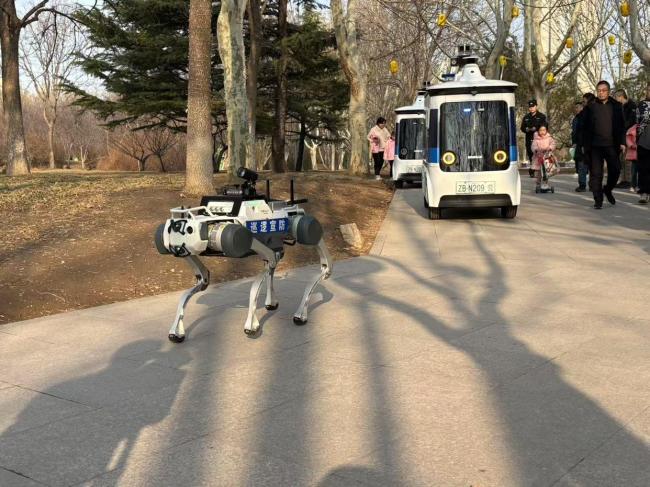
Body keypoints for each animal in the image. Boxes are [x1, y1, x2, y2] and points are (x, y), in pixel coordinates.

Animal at [154, 168, 332, 344]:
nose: (175, 229)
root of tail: (293, 206)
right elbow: (202, 279)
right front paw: (176, 330)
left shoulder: (251, 241)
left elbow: (260, 279)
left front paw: (252, 325)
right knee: (273, 266)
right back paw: (272, 303)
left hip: (302, 226)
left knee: (322, 260)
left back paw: (301, 312)